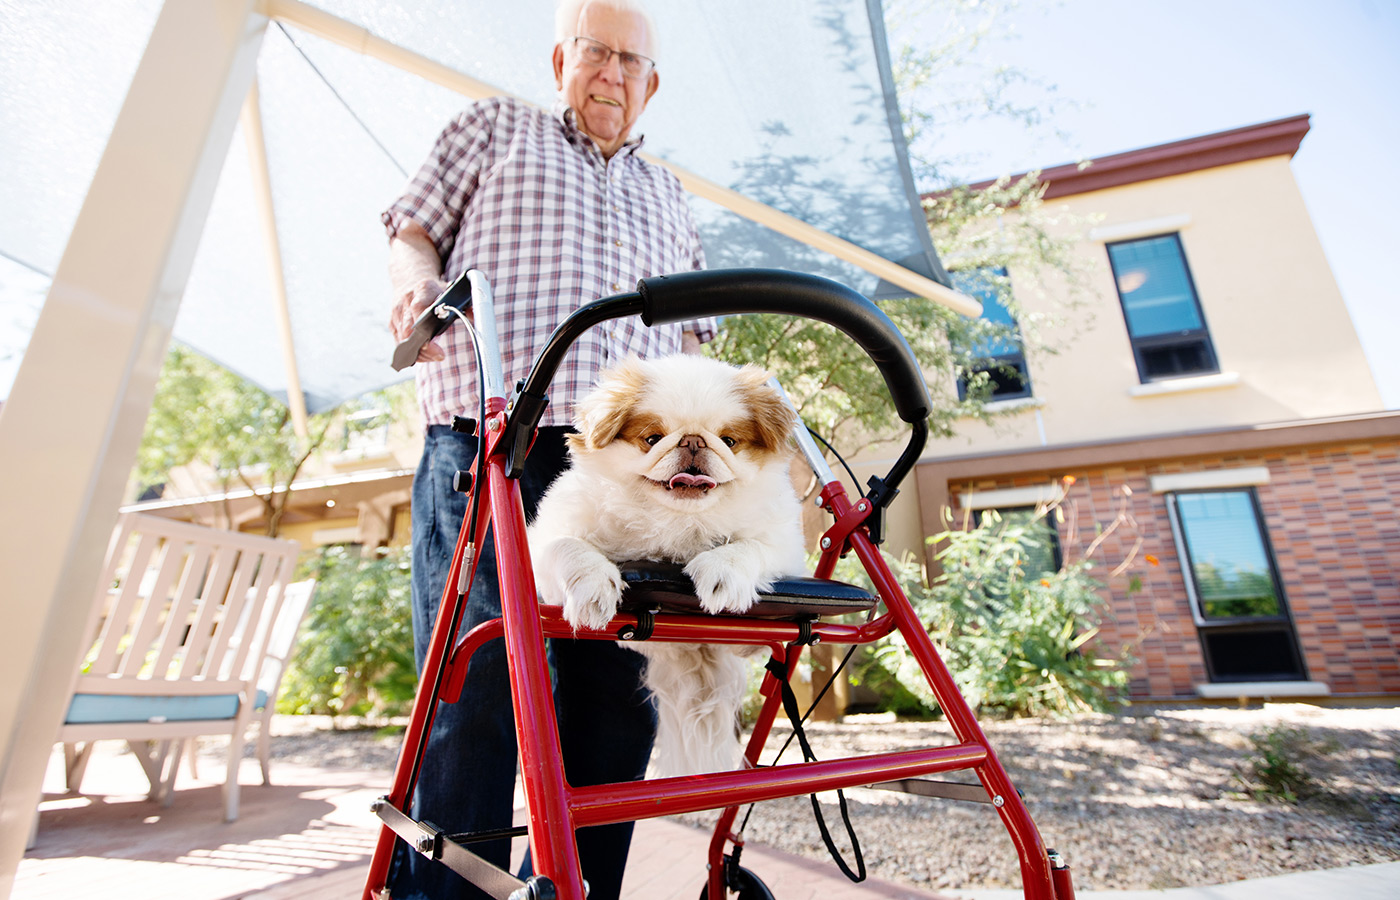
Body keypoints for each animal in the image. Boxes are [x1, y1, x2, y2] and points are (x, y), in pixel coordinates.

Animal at [526, 355, 812, 778]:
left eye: (728, 441)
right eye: (651, 438)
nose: (693, 441)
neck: (678, 520)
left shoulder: (783, 547)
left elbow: (747, 549)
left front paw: (722, 573)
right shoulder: (547, 537)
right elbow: (570, 548)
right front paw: (593, 586)